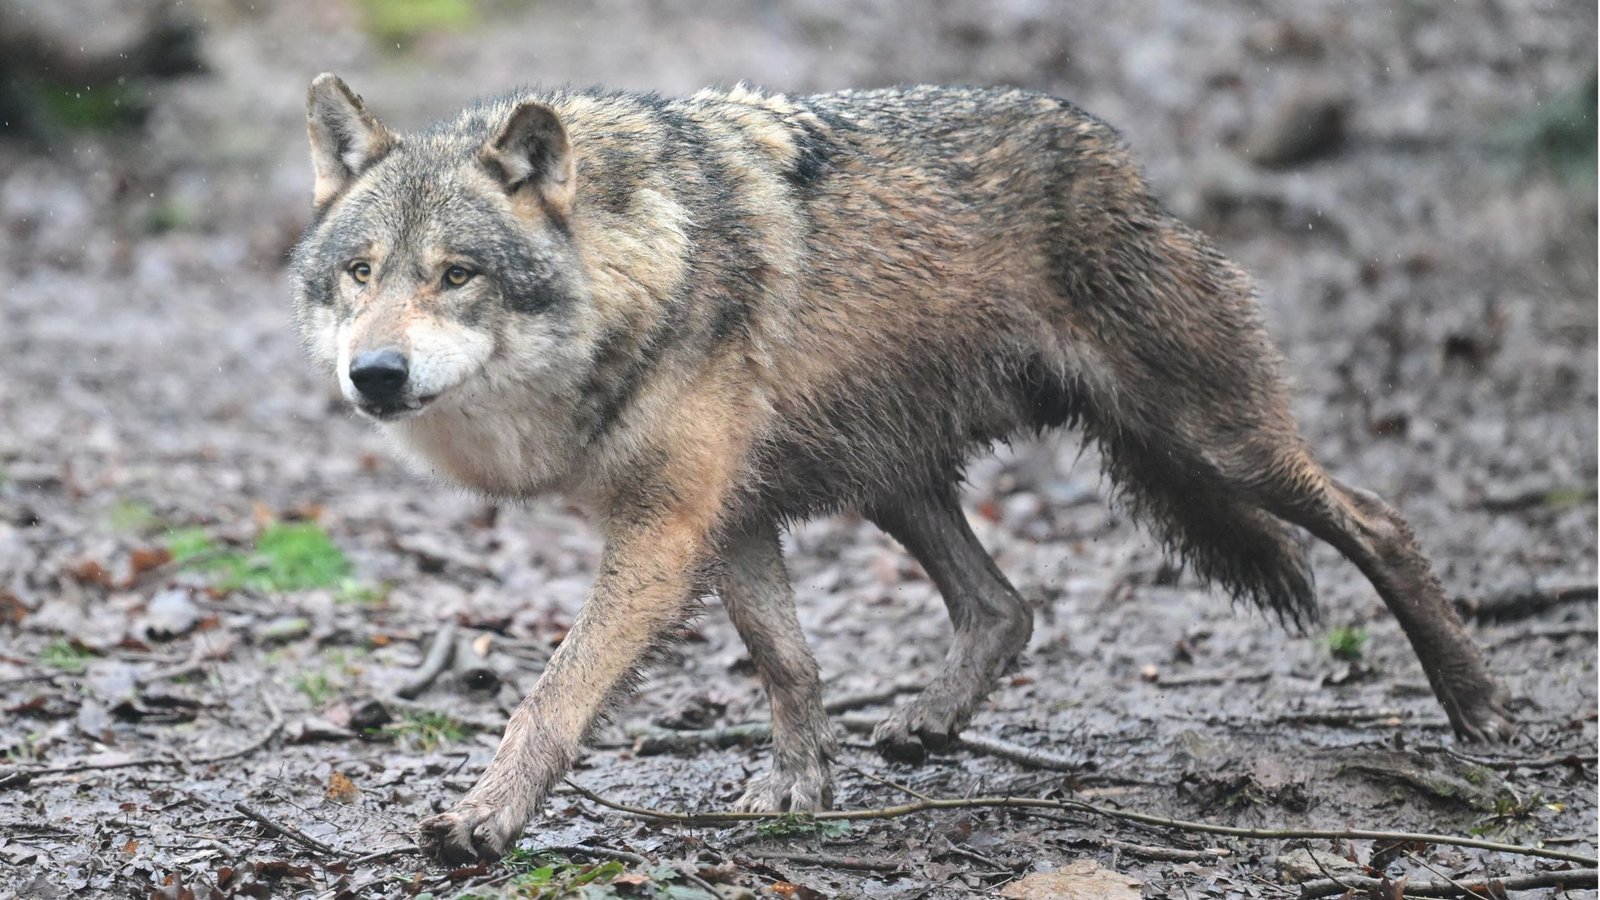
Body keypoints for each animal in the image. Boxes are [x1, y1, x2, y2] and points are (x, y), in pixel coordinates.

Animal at [290, 74, 1512, 863]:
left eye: (456, 274)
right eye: (361, 271)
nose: (375, 374)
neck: (638, 269)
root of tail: (1122, 160)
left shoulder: (666, 529)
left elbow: (551, 696)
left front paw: (483, 820)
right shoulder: (728, 518)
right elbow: (787, 663)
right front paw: (798, 787)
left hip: (1212, 441)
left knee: (1380, 519)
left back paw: (1478, 708)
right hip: (894, 479)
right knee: (1006, 606)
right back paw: (927, 723)